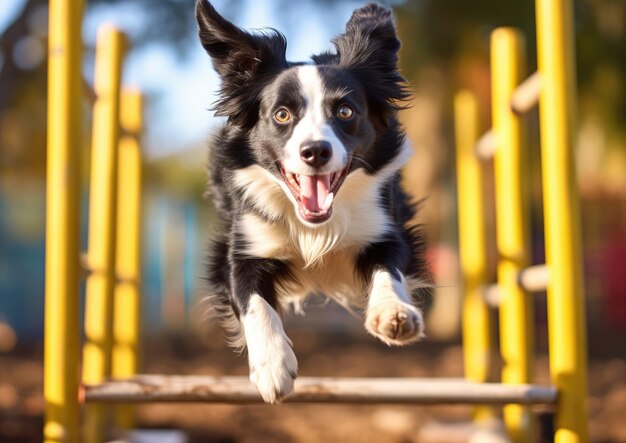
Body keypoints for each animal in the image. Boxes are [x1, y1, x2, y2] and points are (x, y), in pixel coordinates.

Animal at [195, 0, 428, 404]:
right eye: (282, 114)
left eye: (345, 111)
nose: (315, 151)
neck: (314, 225)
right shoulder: (241, 249)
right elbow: (254, 302)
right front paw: (273, 366)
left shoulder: (386, 229)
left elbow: (389, 269)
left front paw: (393, 313)